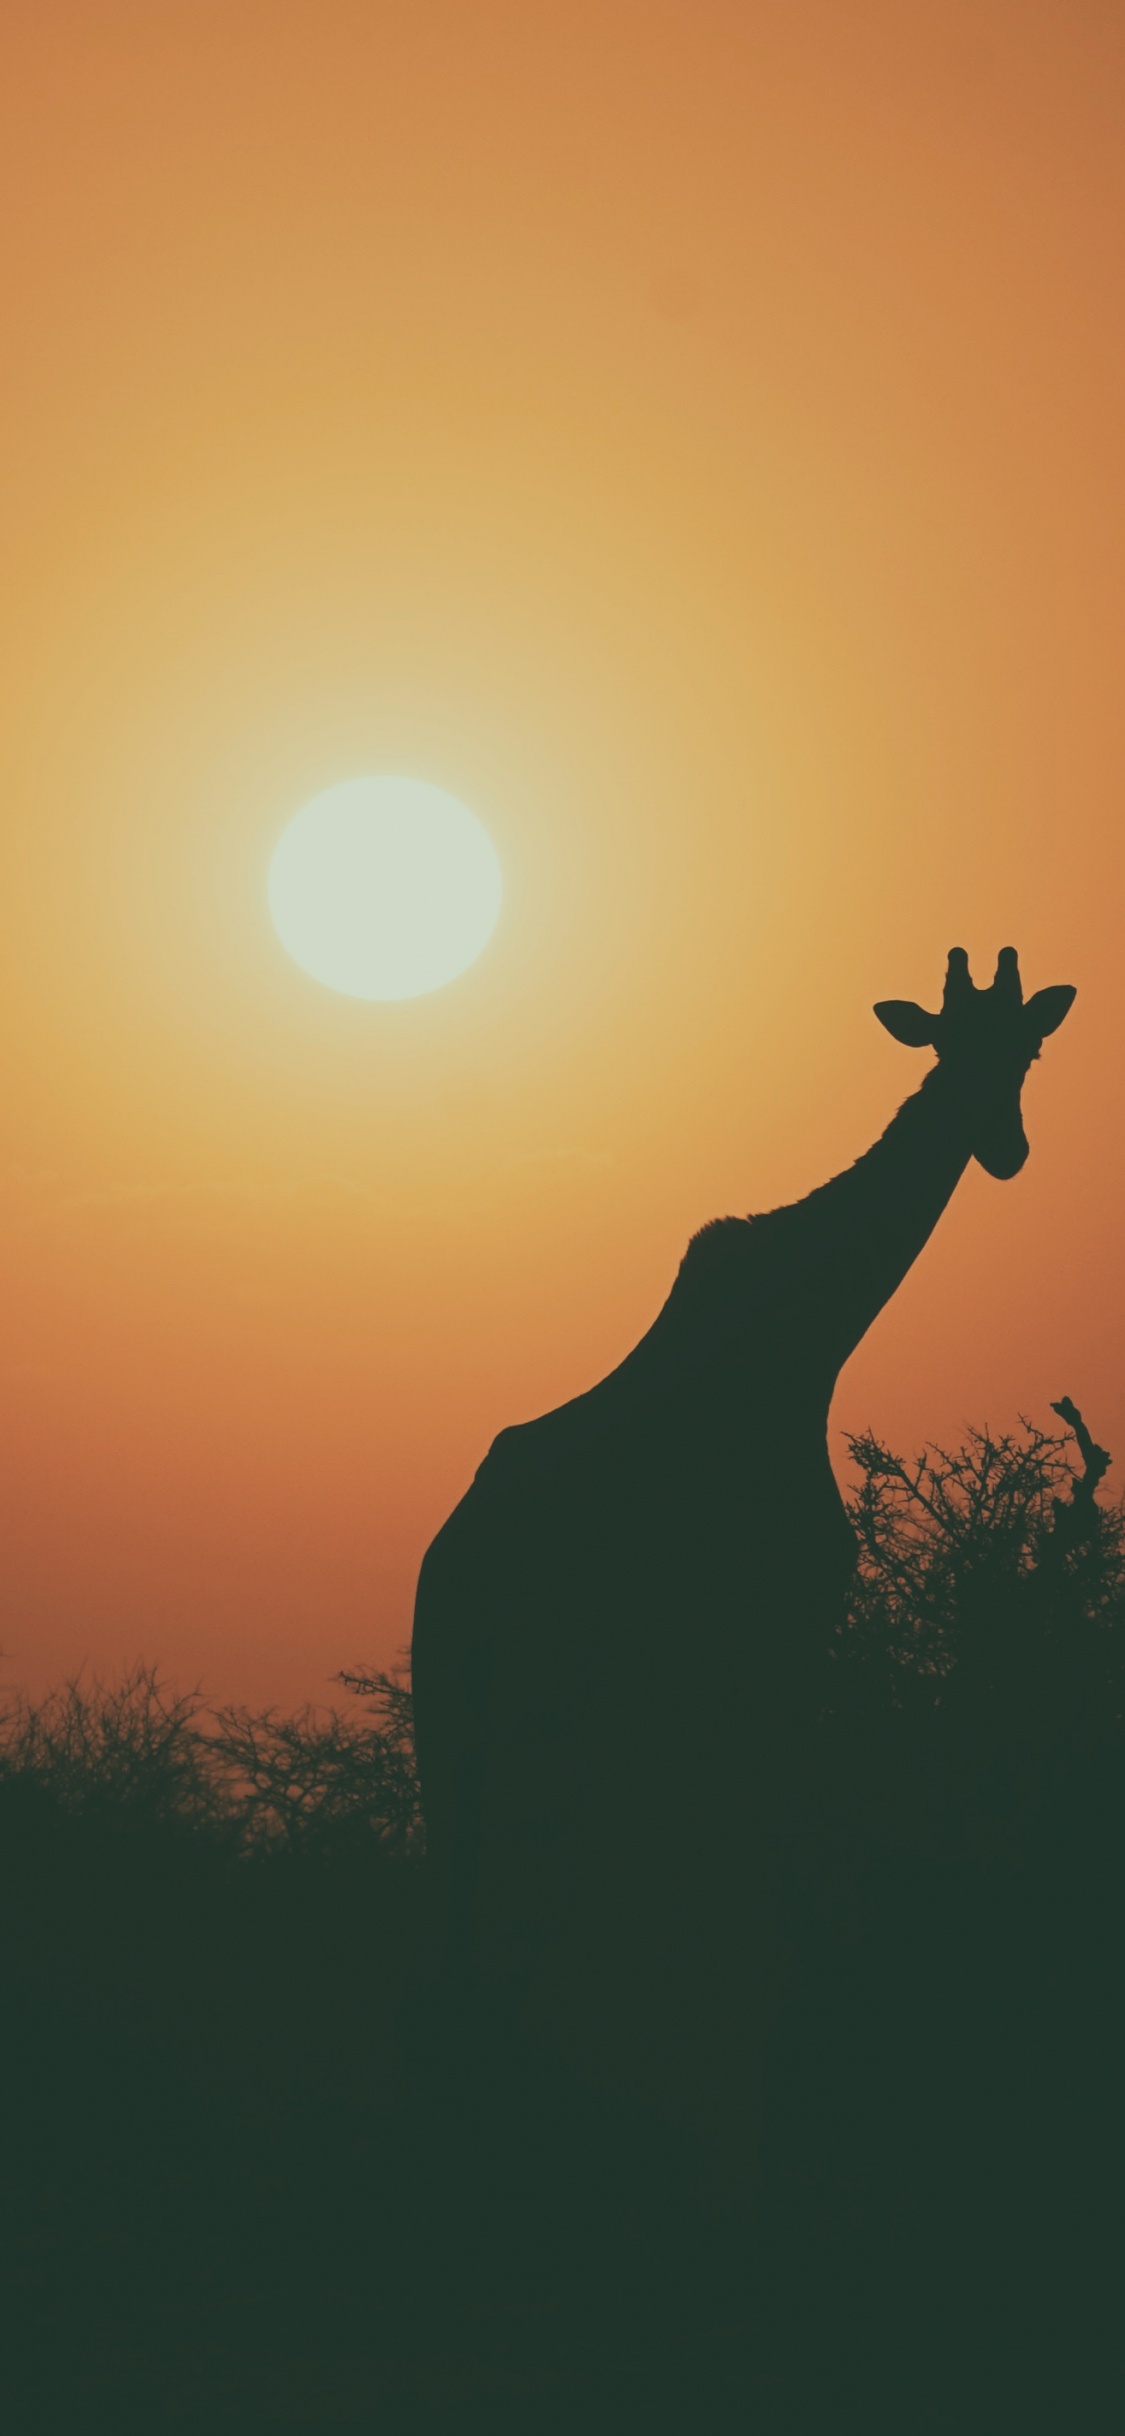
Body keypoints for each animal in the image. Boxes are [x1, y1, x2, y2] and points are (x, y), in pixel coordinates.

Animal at [409, 947, 1075, 2175]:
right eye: (947, 1045)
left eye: (1030, 1048)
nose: (1003, 1149)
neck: (812, 1338)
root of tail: (442, 1576)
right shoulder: (781, 1627)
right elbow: (763, 1915)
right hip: (513, 1723)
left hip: (493, 1726)